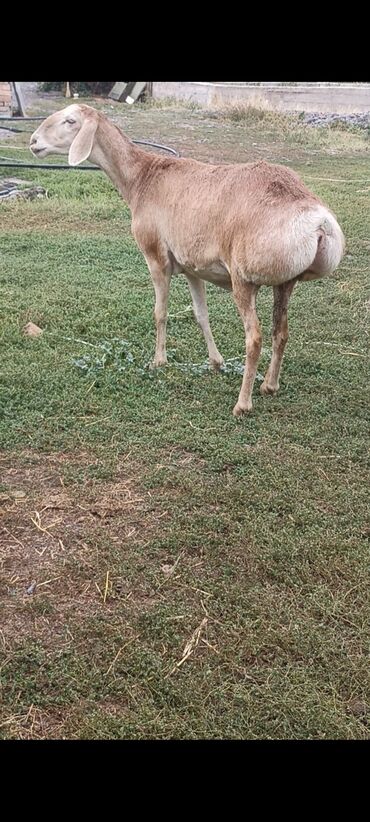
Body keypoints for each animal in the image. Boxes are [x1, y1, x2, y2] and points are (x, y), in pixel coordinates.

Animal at [30, 105, 346, 416]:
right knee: (281, 332)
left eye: (70, 120)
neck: (141, 179)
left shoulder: (156, 257)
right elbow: (200, 314)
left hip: (243, 277)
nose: (33, 142)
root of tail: (318, 222)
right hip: (286, 280)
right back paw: (269, 385)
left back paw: (243, 403)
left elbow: (160, 312)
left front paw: (159, 360)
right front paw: (216, 361)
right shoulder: (193, 266)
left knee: (254, 337)